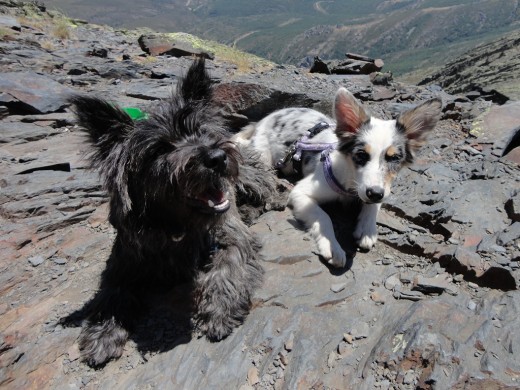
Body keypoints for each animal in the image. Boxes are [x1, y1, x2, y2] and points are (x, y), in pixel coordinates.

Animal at [71, 58, 278, 366]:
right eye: (159, 149)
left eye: (201, 130)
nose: (217, 158)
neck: (177, 228)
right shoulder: (123, 261)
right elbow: (112, 292)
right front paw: (103, 331)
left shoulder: (231, 236)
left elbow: (228, 263)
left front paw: (220, 308)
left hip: (248, 176)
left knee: (273, 188)